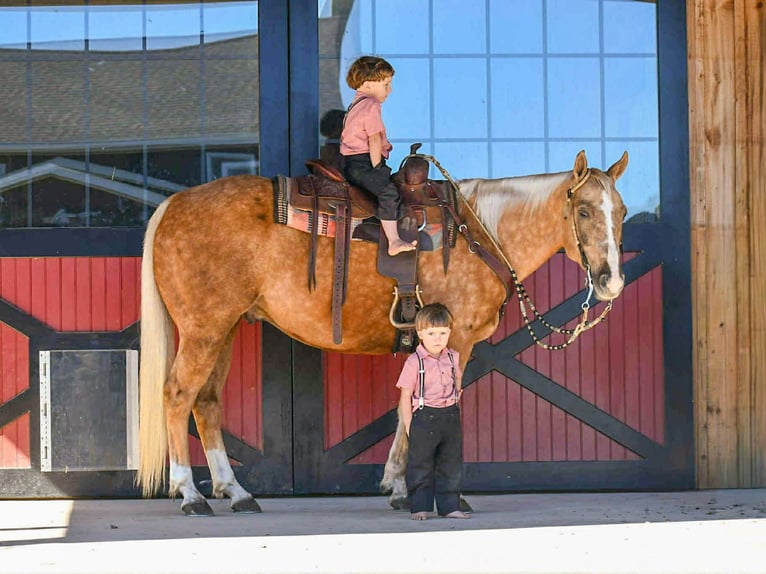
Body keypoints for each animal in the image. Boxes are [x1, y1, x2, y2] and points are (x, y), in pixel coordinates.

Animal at [137, 149, 629, 515]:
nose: (611, 281)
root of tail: (173, 205)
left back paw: (235, 491)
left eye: (621, 211)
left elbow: (405, 407)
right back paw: (190, 493)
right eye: (584, 210)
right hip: (204, 329)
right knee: (178, 395)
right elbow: (434, 407)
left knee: (206, 401)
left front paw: (396, 484)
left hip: (225, 327)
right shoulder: (456, 341)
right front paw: (434, 493)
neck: (482, 233)